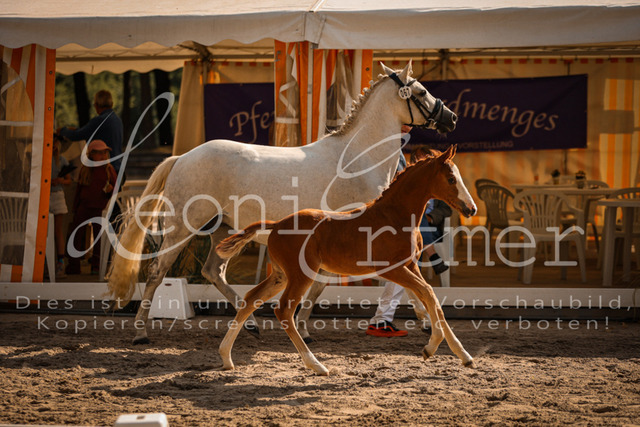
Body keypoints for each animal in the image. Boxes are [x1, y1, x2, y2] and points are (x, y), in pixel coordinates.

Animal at [106, 61, 458, 345]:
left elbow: (325, 285)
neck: (357, 160)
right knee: (156, 272)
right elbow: (359, 283)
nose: (451, 118)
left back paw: (250, 325)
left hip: (224, 229)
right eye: (422, 91)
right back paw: (141, 333)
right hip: (182, 227)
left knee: (212, 271)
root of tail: (182, 158)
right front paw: (427, 322)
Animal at [216, 145, 476, 375]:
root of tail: (277, 224)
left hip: (281, 275)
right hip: (301, 275)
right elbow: (429, 293)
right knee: (284, 311)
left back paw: (226, 357)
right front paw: (431, 347)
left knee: (251, 299)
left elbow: (431, 298)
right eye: (451, 179)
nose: (472, 209)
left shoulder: (411, 266)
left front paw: (463, 355)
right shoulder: (391, 270)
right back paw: (317, 365)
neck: (394, 216)